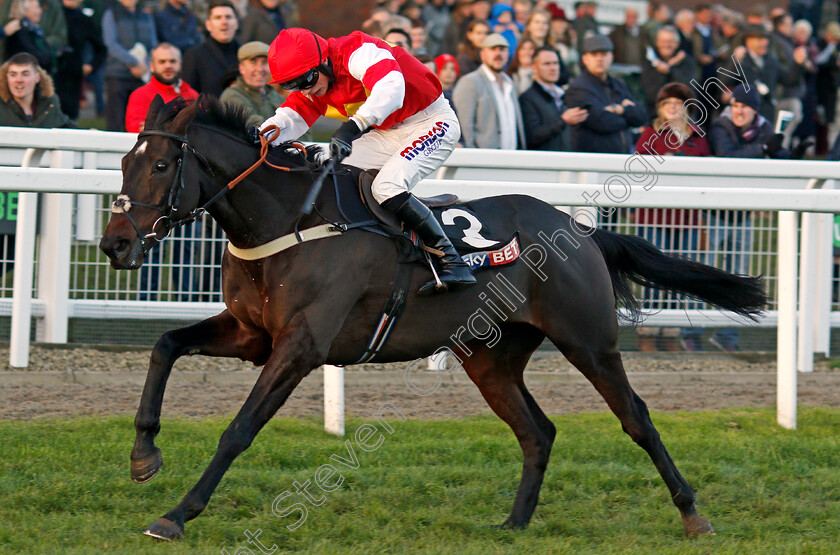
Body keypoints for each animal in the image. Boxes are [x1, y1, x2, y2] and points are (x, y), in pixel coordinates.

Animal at [98, 96, 768, 544]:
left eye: (160, 167)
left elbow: (239, 429)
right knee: (538, 431)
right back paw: (514, 523)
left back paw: (693, 514)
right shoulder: (252, 334)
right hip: (491, 357)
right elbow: (164, 344)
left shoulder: (300, 347)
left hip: (588, 341)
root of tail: (578, 230)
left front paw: (176, 515)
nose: (114, 245)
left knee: (636, 417)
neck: (289, 220)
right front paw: (143, 456)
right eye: (124, 164)